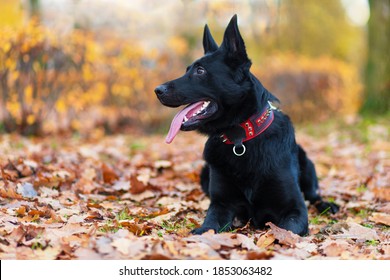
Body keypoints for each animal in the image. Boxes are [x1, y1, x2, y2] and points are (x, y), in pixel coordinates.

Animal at [154, 14, 336, 235]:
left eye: (200, 71)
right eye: (187, 69)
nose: (157, 90)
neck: (241, 138)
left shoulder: (294, 208)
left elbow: (286, 230)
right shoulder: (221, 204)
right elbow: (209, 226)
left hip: (307, 165)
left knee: (314, 195)